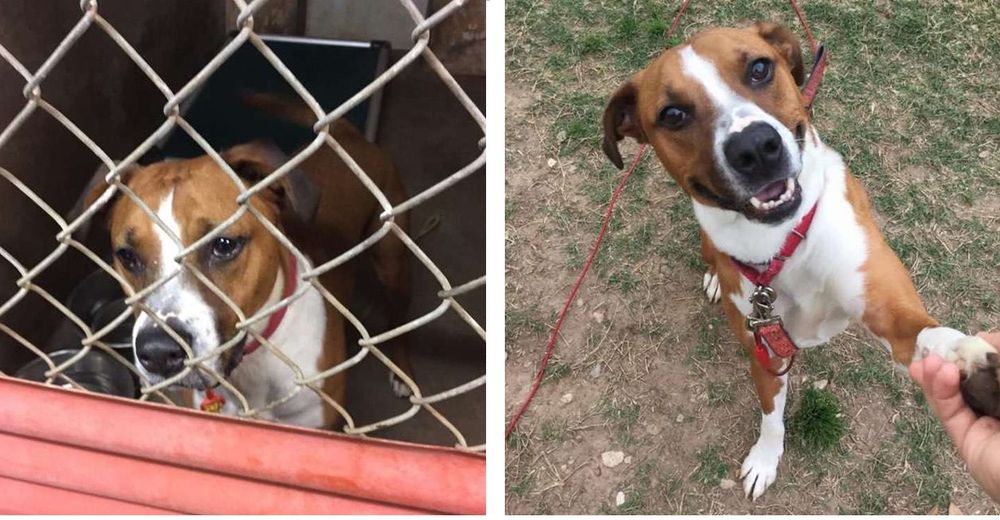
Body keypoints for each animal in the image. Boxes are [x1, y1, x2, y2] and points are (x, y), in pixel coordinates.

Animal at [596, 21, 996, 500]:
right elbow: (772, 416)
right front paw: (765, 460)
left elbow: (925, 334)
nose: (754, 147)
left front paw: (970, 358)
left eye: (759, 68)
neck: (783, 244)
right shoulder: (764, 350)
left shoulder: (886, 310)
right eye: (673, 114)